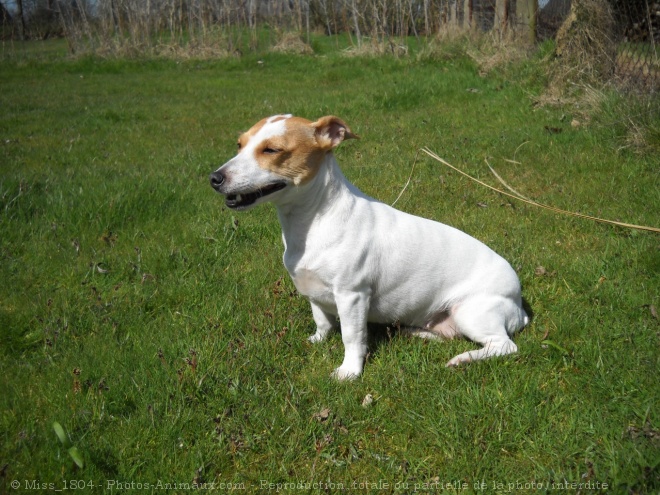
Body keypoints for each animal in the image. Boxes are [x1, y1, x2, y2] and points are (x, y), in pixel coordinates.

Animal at [211, 115, 532, 380]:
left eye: (271, 150)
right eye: (239, 145)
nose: (214, 178)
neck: (311, 222)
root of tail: (519, 306)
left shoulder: (352, 296)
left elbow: (351, 337)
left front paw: (349, 372)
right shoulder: (314, 292)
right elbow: (323, 323)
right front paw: (317, 341)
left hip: (472, 312)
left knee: (504, 346)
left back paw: (463, 359)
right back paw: (418, 332)